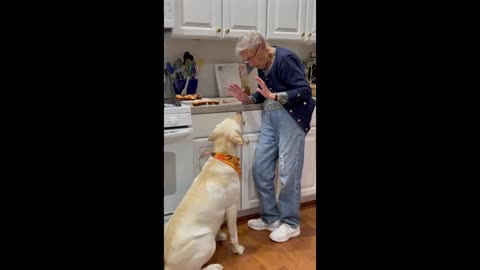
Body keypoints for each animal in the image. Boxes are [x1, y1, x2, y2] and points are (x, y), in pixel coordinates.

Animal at [165, 112, 248, 270]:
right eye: (232, 119)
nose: (239, 112)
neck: (223, 157)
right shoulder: (232, 208)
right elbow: (234, 234)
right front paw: (237, 249)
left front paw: (220, 235)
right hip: (207, 240)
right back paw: (214, 266)